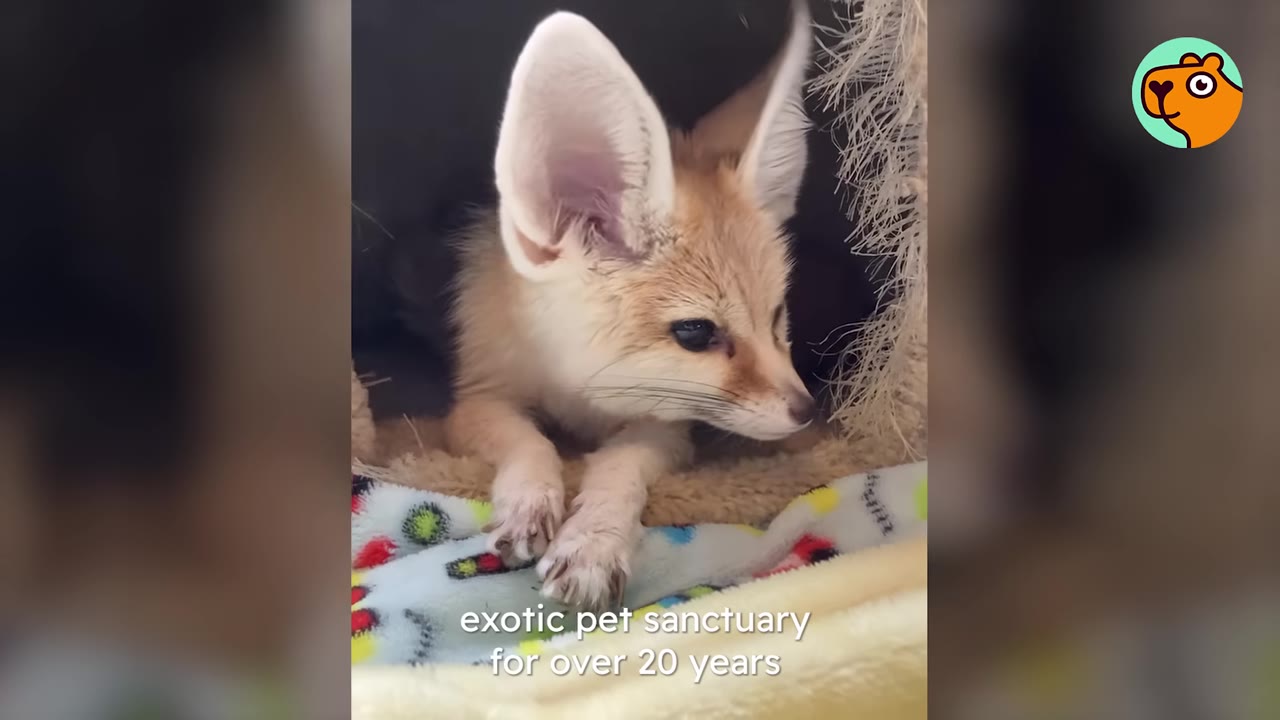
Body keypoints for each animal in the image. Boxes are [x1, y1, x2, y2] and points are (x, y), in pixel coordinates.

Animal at [444, 1, 816, 610]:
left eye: (777, 318)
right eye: (695, 333)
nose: (807, 410)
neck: (581, 393)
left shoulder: (666, 425)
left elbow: (620, 464)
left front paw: (594, 541)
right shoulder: (477, 398)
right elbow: (528, 442)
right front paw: (528, 500)